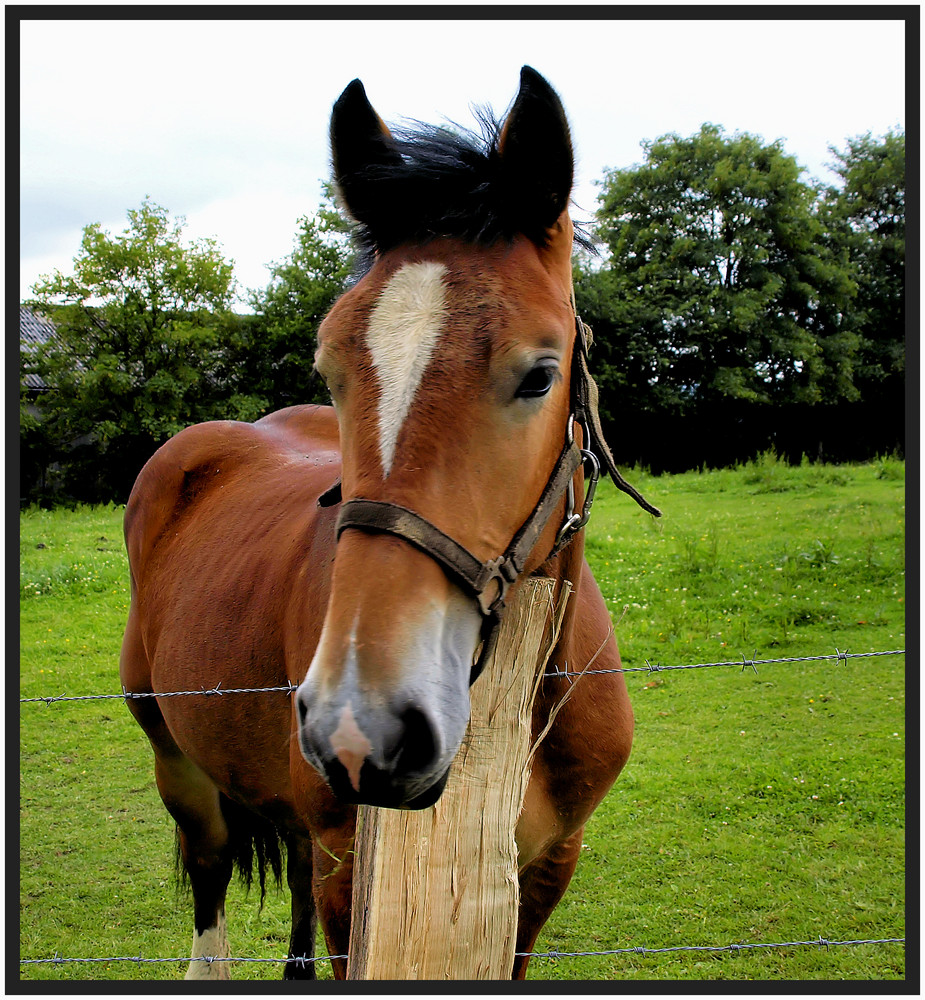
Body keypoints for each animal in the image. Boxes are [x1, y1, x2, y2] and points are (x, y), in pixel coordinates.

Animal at [121, 66, 656, 980]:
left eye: (539, 375)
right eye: (331, 369)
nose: (362, 725)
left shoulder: (547, 868)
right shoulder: (353, 878)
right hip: (180, 766)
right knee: (210, 877)